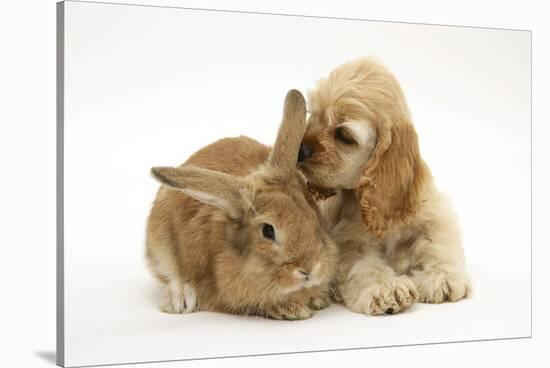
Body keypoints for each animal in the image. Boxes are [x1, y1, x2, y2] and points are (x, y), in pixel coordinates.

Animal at [300, 58, 472, 316]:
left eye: (343, 134)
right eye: (313, 116)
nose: (300, 150)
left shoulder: (433, 213)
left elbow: (439, 243)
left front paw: (442, 276)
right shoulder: (350, 240)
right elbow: (365, 265)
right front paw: (386, 288)